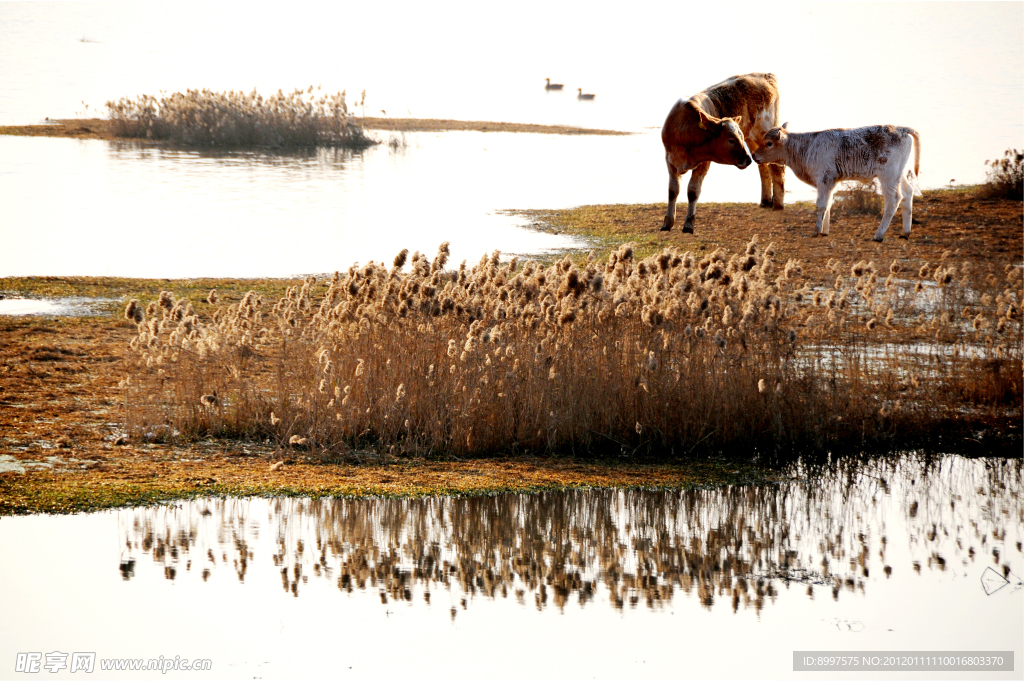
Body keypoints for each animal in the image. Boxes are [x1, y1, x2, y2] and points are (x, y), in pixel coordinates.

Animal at [659, 71, 786, 231]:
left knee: (776, 167)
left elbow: (693, 191)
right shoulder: (670, 160)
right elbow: (673, 191)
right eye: (731, 140)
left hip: (766, 131)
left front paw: (688, 224)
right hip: (754, 141)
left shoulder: (704, 162)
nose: (747, 160)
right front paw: (667, 223)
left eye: (738, 137)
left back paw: (778, 205)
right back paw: (765, 201)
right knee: (763, 165)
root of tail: (765, 75)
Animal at [753, 124, 921, 241]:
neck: (806, 147)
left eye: (768, 143)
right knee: (907, 194)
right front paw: (825, 231)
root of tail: (900, 128)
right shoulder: (831, 182)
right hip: (898, 174)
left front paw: (817, 230)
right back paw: (905, 233)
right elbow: (828, 204)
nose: (754, 155)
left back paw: (878, 235)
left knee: (893, 200)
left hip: (888, 175)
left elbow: (821, 205)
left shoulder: (824, 179)